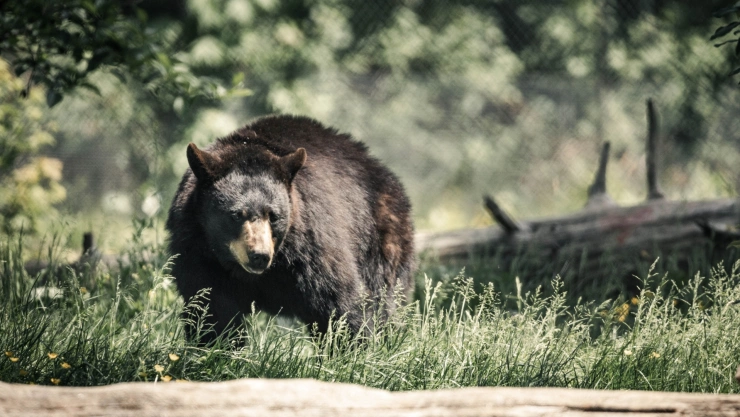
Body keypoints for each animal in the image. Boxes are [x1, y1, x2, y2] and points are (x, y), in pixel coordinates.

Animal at [166, 115, 415, 343]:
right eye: (235, 215)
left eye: (274, 216)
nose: (259, 255)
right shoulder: (199, 251)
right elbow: (212, 308)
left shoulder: (310, 247)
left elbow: (339, 301)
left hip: (381, 238)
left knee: (384, 296)